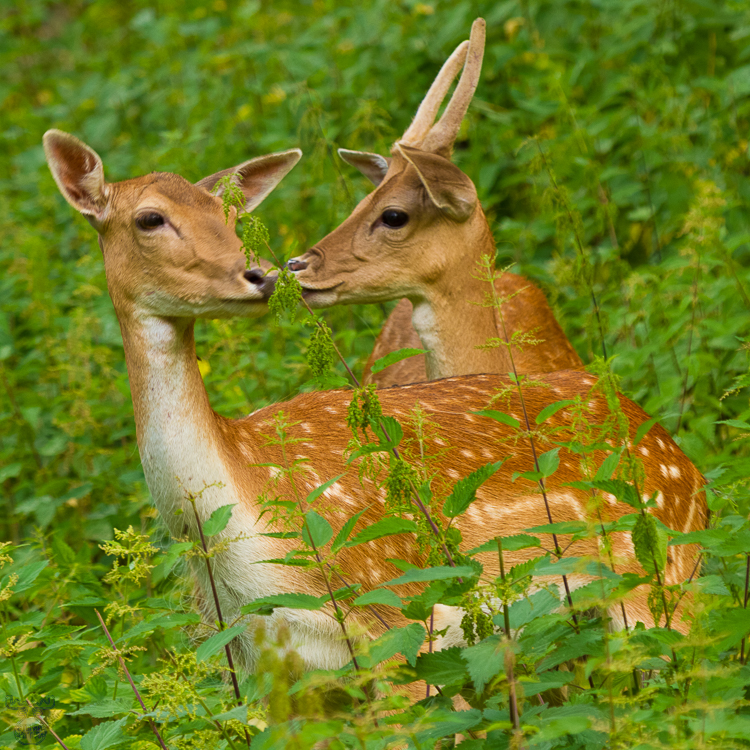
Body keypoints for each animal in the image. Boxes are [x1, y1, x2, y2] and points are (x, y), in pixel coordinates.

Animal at [45, 127, 701, 691]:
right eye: (149, 218)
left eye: (231, 217)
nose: (259, 274)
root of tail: (684, 461)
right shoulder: (260, 663)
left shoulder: (395, 621)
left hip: (667, 582)